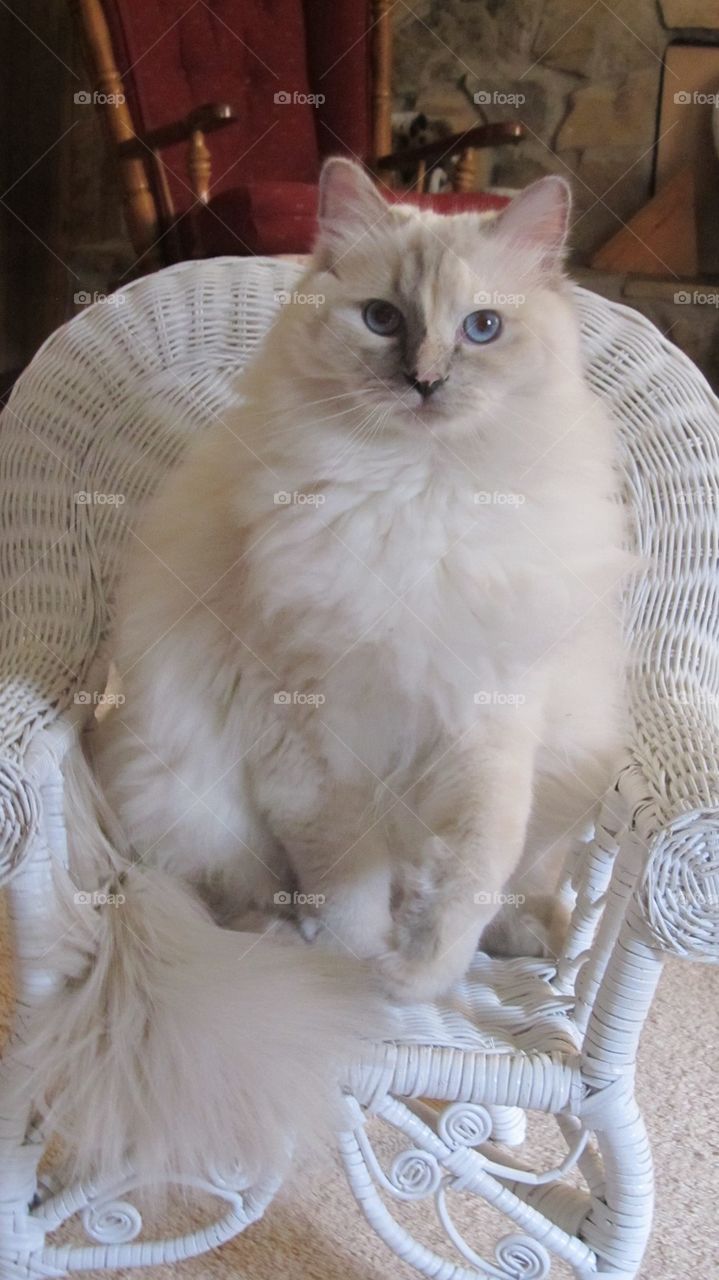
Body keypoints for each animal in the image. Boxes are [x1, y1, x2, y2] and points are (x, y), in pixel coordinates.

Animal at [33, 162, 624, 1187]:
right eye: (382, 319)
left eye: (482, 328)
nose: (425, 381)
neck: (424, 502)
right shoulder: (316, 743)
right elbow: (345, 887)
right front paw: (363, 974)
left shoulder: (485, 724)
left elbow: (474, 869)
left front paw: (419, 968)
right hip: (194, 802)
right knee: (238, 897)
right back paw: (282, 939)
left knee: (517, 881)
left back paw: (513, 929)